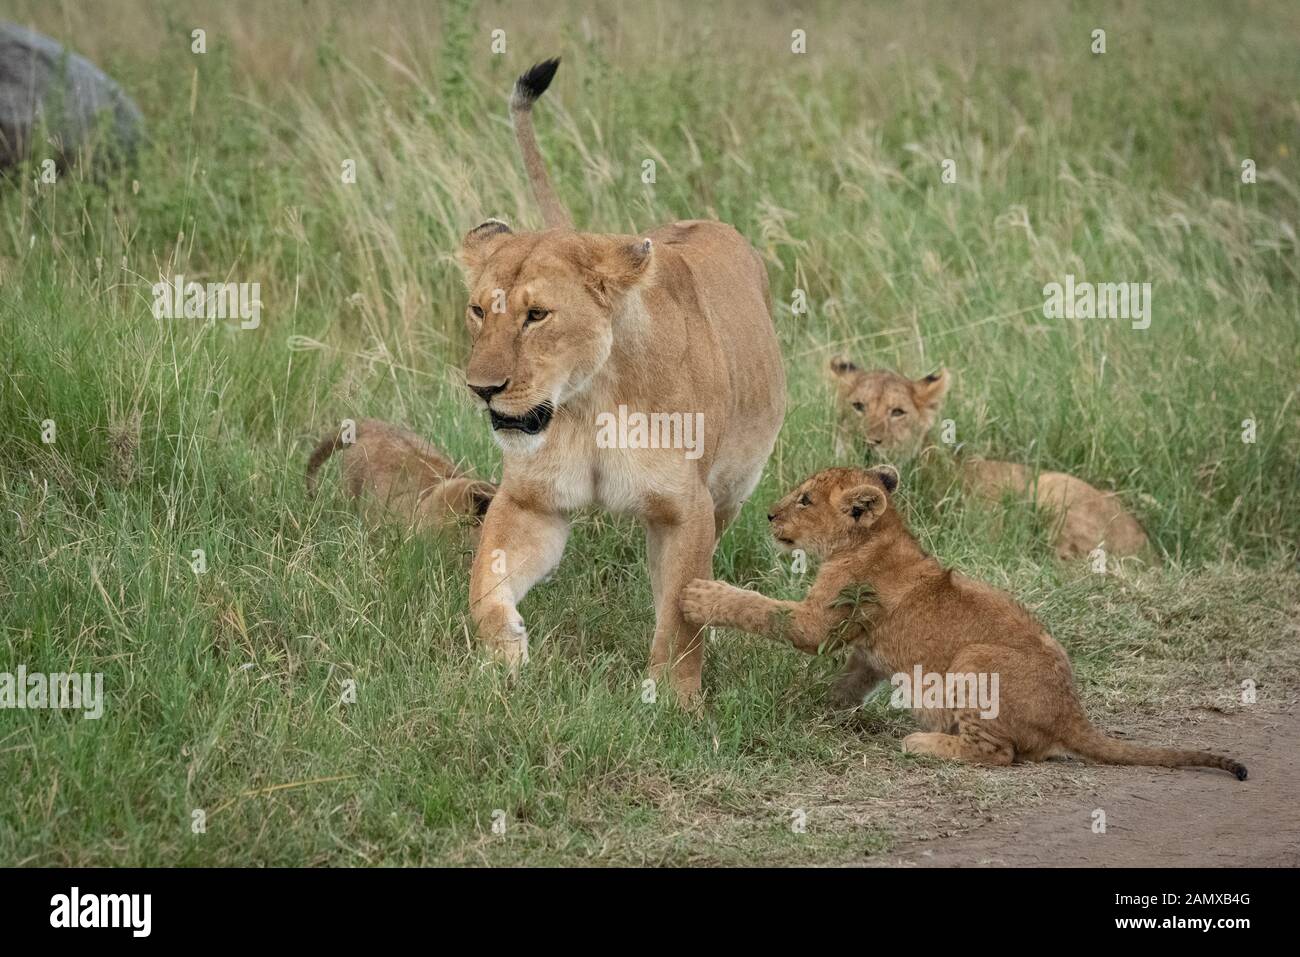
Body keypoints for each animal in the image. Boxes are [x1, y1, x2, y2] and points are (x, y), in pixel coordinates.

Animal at [459, 58, 786, 695]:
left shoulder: (687, 508)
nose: (482, 389)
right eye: (479, 310)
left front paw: (674, 701)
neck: (589, 400)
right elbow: (484, 583)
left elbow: (681, 611)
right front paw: (506, 654)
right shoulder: (532, 500)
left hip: (731, 490)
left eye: (537, 315)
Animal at [680, 466, 1246, 778]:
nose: (769, 515)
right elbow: (845, 685)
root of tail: (1071, 715)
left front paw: (699, 595)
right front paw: (811, 710)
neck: (876, 536)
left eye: (805, 500)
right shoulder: (867, 652)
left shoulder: (817, 624)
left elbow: (761, 608)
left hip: (975, 659)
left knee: (998, 754)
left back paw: (923, 742)